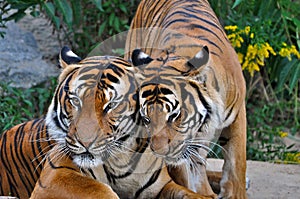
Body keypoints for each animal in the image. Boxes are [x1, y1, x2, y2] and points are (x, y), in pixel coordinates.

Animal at [1, 46, 211, 199]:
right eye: (75, 100)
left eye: (111, 105)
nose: (85, 141)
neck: (120, 160)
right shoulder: (53, 176)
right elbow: (99, 190)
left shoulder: (162, 186)